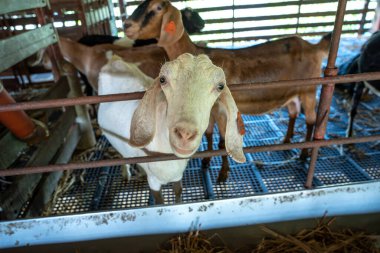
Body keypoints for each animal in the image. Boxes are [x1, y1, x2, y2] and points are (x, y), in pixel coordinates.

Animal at [96, 52, 245, 204]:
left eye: (220, 86)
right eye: (162, 80)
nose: (185, 134)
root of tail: (114, 59)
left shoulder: (178, 175)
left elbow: (178, 191)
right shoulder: (154, 181)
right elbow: (160, 202)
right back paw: (126, 173)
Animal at [124, 0, 330, 182]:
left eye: (157, 7)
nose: (126, 25)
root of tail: (314, 47)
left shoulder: (221, 111)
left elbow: (222, 142)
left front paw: (222, 174)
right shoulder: (208, 113)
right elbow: (208, 134)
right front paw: (206, 162)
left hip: (309, 90)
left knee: (311, 120)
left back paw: (304, 154)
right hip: (292, 93)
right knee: (294, 112)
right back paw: (286, 141)